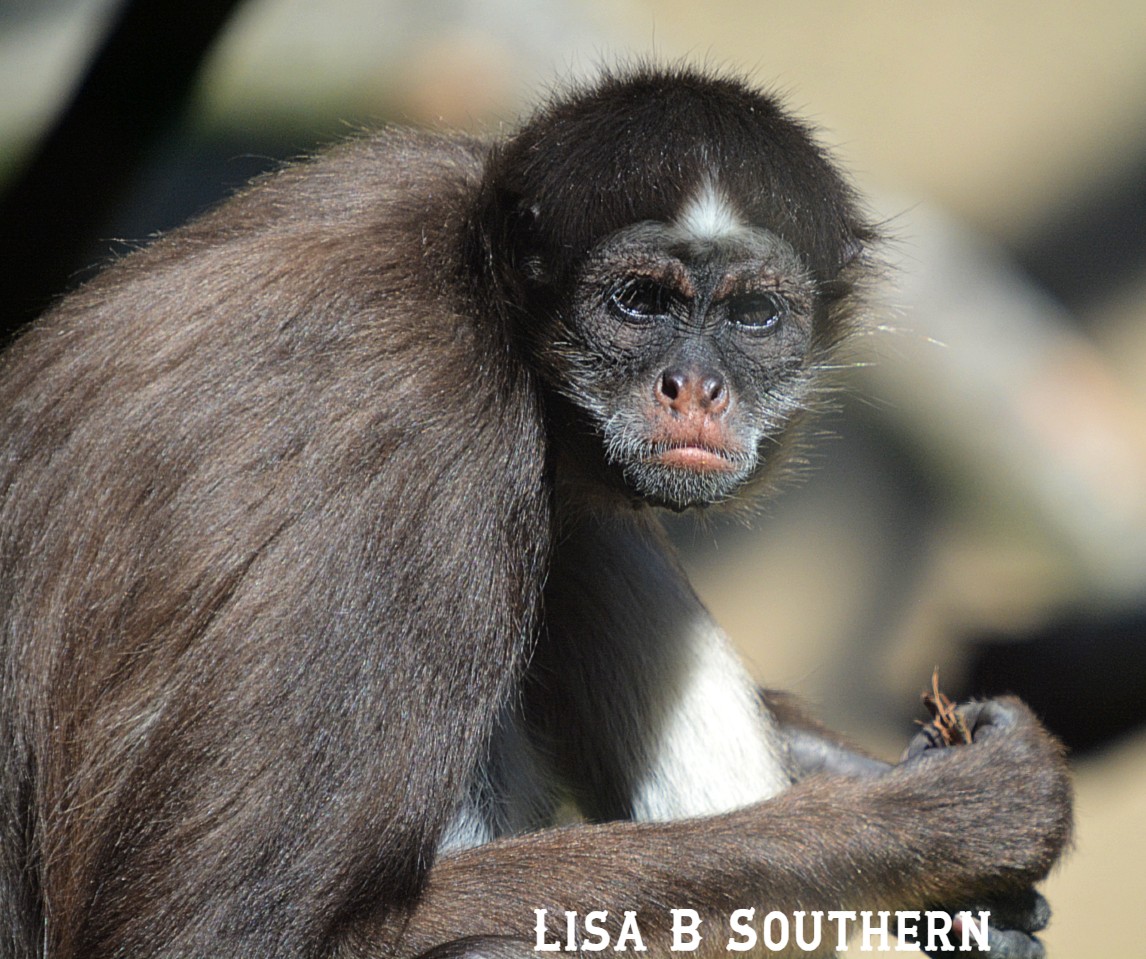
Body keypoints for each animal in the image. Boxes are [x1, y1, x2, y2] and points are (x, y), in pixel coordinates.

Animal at [0, 65, 1071, 959]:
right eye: (639, 301)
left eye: (752, 316)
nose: (696, 387)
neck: (471, 280)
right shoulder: (432, 428)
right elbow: (217, 937)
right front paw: (941, 817)